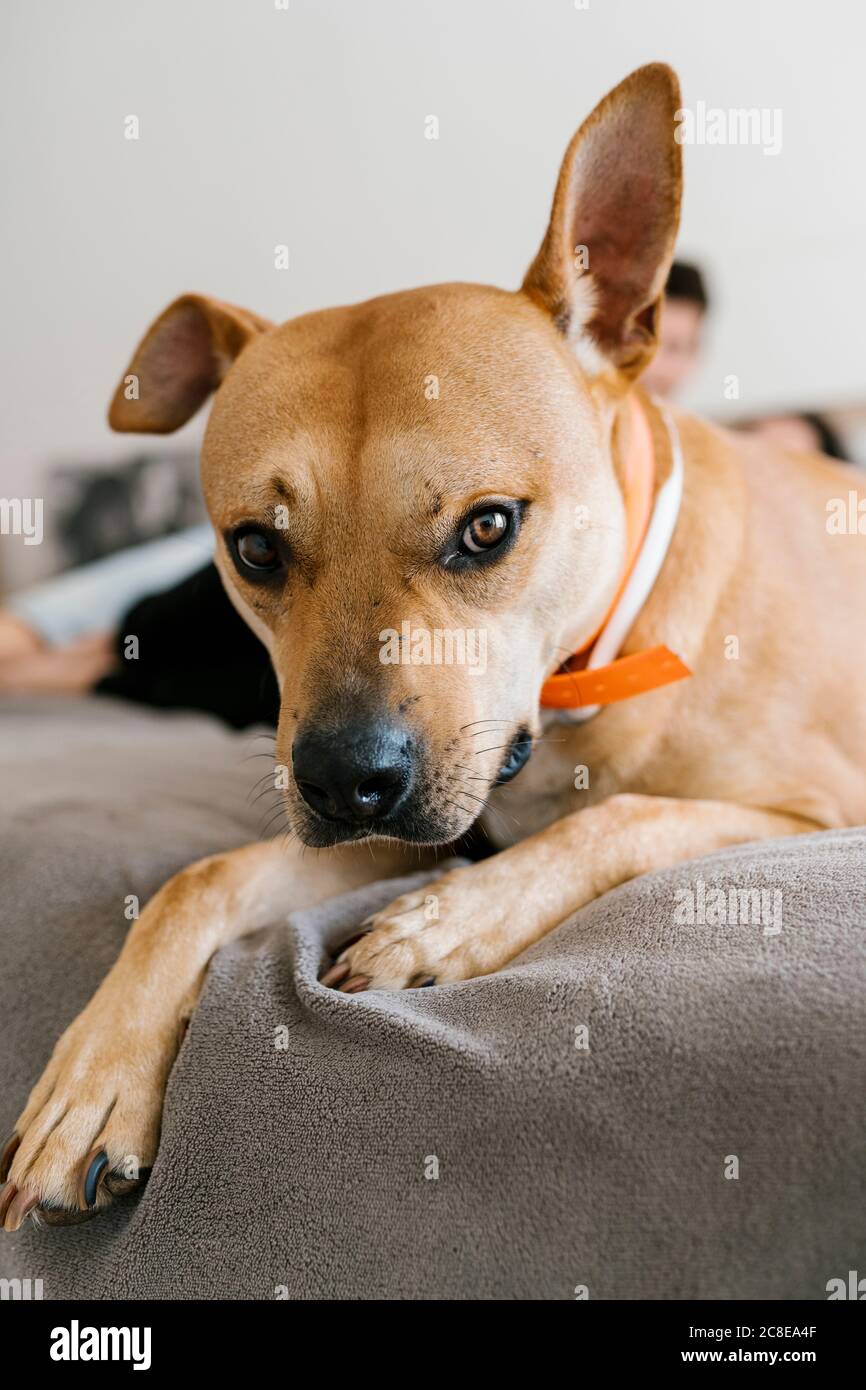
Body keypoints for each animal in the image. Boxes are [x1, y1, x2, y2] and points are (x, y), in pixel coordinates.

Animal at [1, 62, 866, 1228]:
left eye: (489, 526)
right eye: (254, 546)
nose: (340, 783)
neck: (589, 669)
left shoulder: (806, 810)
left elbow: (618, 819)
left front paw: (441, 926)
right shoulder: (409, 822)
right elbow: (200, 880)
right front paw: (91, 1080)